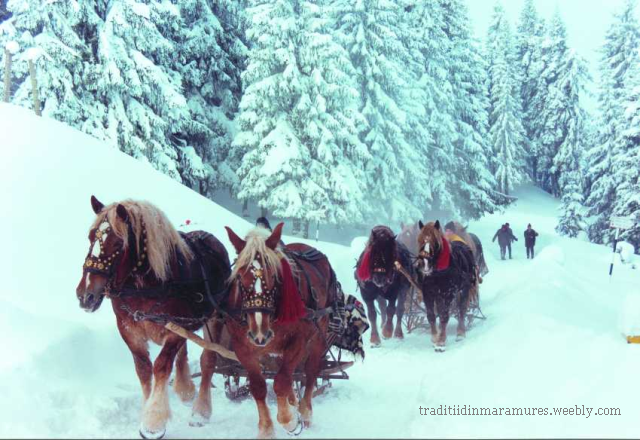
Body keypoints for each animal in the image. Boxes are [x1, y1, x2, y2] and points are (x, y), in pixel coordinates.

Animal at [75, 197, 230, 440]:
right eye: (91, 237)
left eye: (118, 244)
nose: (85, 295)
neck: (147, 286)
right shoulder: (130, 330)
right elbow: (143, 369)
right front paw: (148, 410)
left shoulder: (175, 329)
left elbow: (161, 366)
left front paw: (153, 422)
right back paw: (185, 389)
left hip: (214, 318)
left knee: (208, 361)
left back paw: (200, 412)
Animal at [215, 225, 338, 438]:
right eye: (239, 276)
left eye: (274, 276)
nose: (259, 332)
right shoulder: (242, 347)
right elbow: (259, 386)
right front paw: (266, 428)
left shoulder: (298, 341)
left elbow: (282, 381)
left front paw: (290, 420)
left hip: (319, 334)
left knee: (310, 371)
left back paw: (304, 413)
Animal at [416, 222, 476, 352]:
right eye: (419, 240)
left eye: (435, 242)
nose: (425, 264)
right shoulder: (427, 292)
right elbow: (431, 315)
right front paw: (435, 337)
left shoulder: (449, 293)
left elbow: (444, 315)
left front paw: (441, 342)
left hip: (464, 288)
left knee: (462, 309)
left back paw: (460, 333)